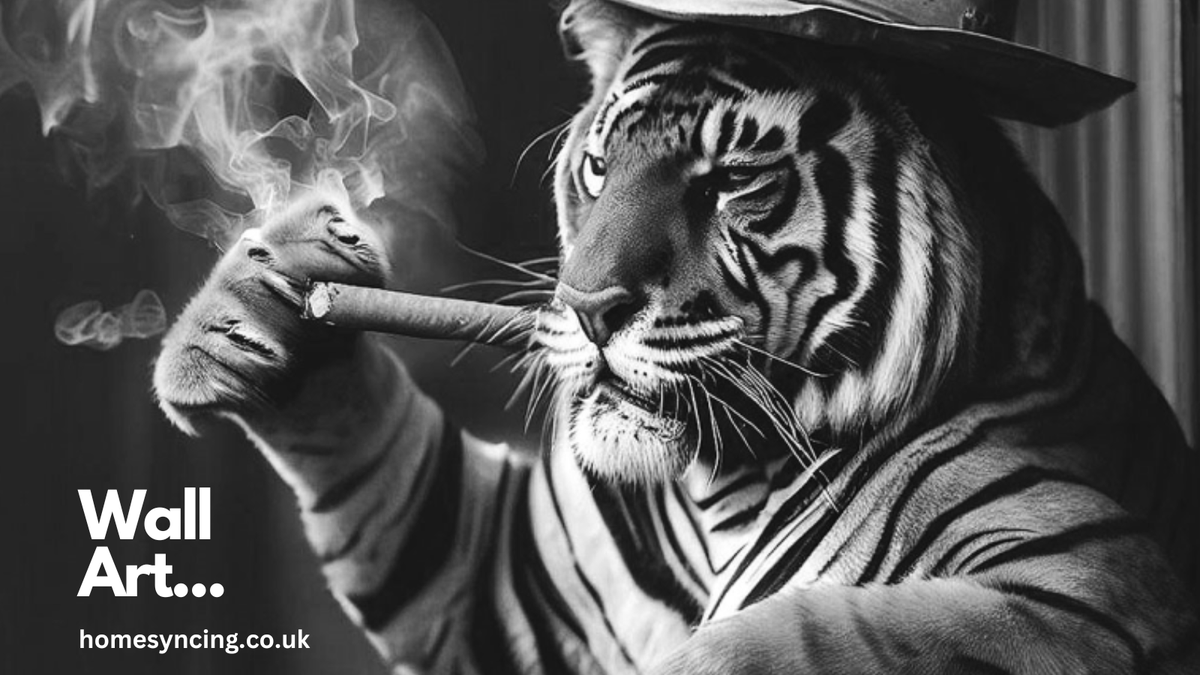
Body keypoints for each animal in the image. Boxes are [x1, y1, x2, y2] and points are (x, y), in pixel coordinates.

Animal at [152, 0, 1200, 672]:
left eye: (733, 179)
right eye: (599, 165)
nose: (587, 306)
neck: (721, 488)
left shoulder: (1091, 584)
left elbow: (815, 633)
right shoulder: (510, 581)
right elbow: (389, 465)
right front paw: (255, 308)